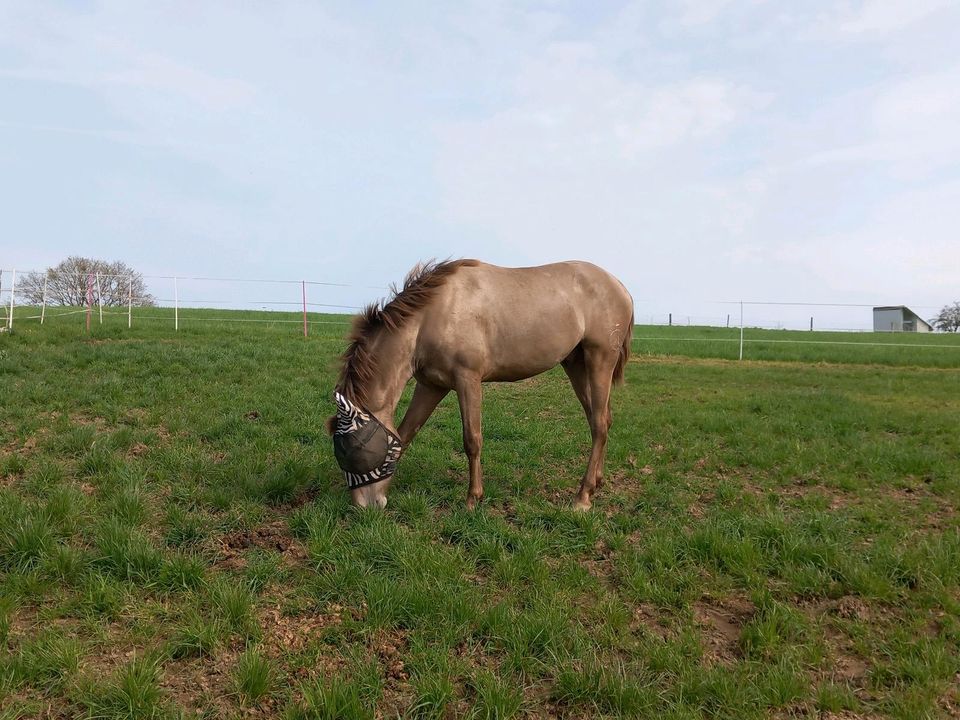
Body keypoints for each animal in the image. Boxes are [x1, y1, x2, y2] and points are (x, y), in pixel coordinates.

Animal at [326, 258, 632, 512]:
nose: (365, 507)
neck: (432, 317)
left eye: (350, 448)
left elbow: (472, 439)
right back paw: (597, 482)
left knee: (599, 424)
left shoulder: (468, 380)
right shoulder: (431, 386)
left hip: (600, 359)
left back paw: (583, 496)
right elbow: (405, 434)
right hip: (576, 364)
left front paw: (473, 499)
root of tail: (620, 286)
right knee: (601, 419)